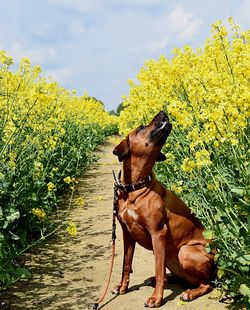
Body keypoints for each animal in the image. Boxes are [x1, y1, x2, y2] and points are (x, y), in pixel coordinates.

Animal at [112, 111, 214, 308]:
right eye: (141, 127)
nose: (163, 113)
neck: (134, 187)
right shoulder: (127, 233)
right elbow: (125, 264)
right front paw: (122, 286)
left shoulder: (157, 233)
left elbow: (158, 269)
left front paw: (156, 298)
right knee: (179, 277)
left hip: (185, 251)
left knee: (207, 284)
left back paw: (190, 293)